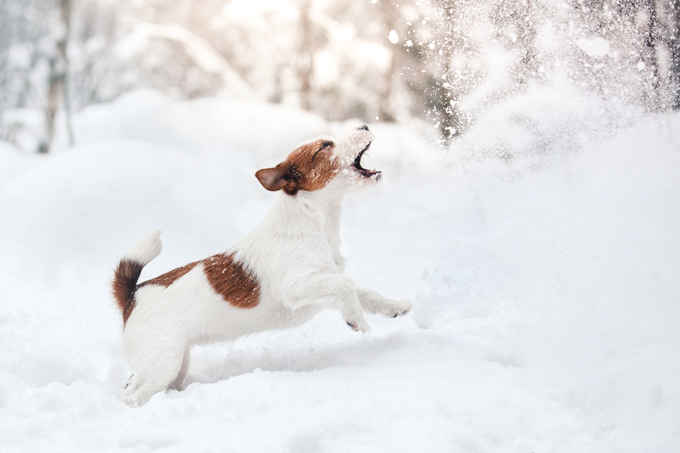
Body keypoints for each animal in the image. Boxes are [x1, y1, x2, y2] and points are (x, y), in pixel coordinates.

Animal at [111, 126, 412, 406]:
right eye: (325, 145)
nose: (364, 126)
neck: (310, 222)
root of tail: (132, 295)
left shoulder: (323, 284)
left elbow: (363, 292)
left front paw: (394, 307)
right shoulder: (297, 286)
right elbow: (346, 285)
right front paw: (356, 319)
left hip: (175, 364)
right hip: (164, 363)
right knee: (132, 396)